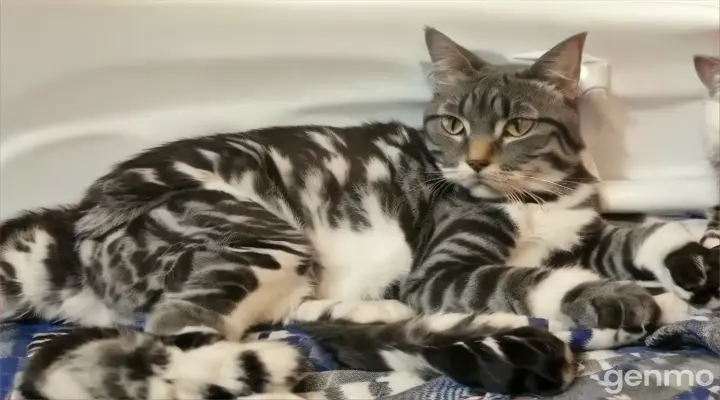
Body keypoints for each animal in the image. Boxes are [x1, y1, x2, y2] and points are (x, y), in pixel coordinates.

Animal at [4, 28, 720, 400]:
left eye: (517, 125)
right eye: (453, 125)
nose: (475, 163)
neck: (535, 199)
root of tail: (81, 220)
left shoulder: (584, 226)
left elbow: (637, 233)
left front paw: (687, 257)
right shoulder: (444, 266)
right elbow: (530, 275)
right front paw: (619, 296)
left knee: (293, 316)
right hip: (252, 232)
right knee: (176, 333)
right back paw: (259, 371)